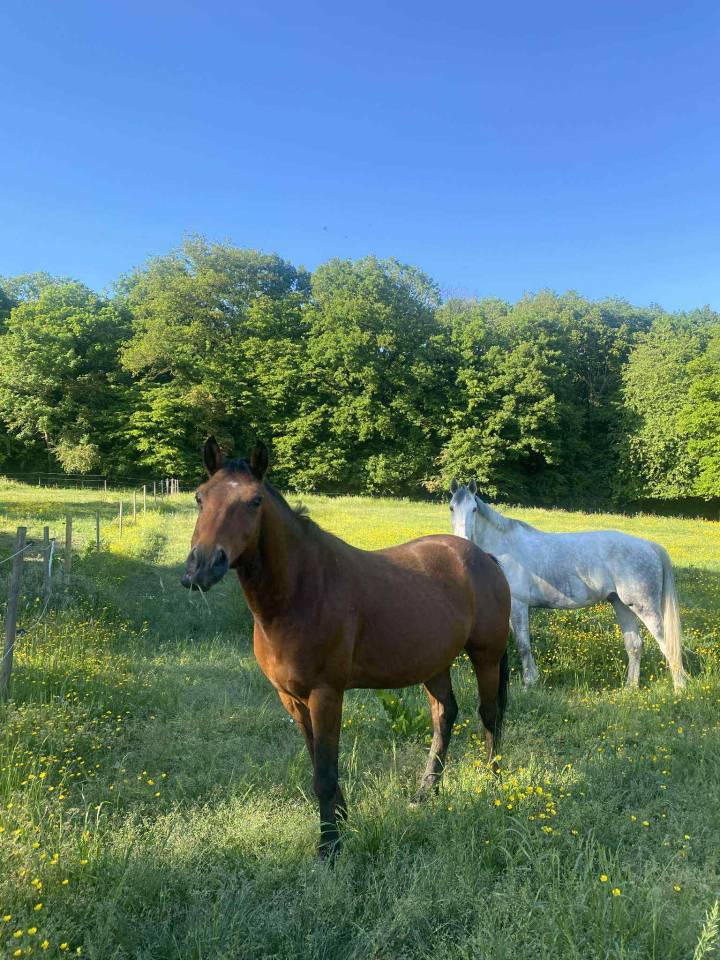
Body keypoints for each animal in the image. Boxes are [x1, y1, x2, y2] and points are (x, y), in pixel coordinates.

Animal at [181, 438, 511, 858]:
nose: (200, 568)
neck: (302, 590)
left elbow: (324, 772)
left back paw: (493, 786)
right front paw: (339, 821)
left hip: (486, 655)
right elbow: (318, 764)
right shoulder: (291, 698)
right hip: (434, 663)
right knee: (445, 714)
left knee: (490, 714)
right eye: (200, 497)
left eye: (254, 501)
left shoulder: (326, 694)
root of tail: (484, 558)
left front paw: (330, 846)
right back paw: (425, 792)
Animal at [448, 480, 686, 692]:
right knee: (635, 645)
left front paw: (528, 684)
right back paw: (630, 688)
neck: (505, 548)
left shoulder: (518, 605)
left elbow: (523, 645)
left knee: (667, 645)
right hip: (621, 605)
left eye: (474, 508)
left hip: (644, 608)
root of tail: (650, 546)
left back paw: (680, 689)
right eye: (452, 507)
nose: (462, 541)